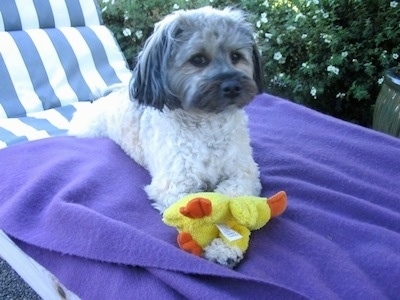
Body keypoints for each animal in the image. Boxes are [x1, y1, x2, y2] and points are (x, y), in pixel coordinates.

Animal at [69, 5, 262, 214]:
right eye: (198, 59)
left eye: (236, 56)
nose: (232, 86)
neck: (209, 125)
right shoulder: (175, 186)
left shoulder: (245, 172)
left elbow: (234, 193)